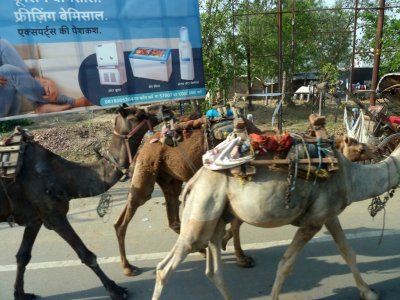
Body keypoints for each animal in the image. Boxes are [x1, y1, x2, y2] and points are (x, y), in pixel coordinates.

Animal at [0, 104, 170, 298]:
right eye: (138, 113)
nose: (165, 108)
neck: (64, 178)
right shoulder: (55, 215)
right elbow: (86, 255)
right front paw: (116, 289)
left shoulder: (36, 217)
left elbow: (23, 256)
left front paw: (21, 294)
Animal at [151, 144, 400, 298]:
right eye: (361, 148)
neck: (351, 178)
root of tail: (193, 182)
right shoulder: (313, 222)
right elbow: (286, 264)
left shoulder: (328, 215)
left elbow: (348, 252)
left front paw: (369, 292)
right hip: (201, 210)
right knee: (165, 267)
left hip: (216, 217)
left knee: (213, 271)